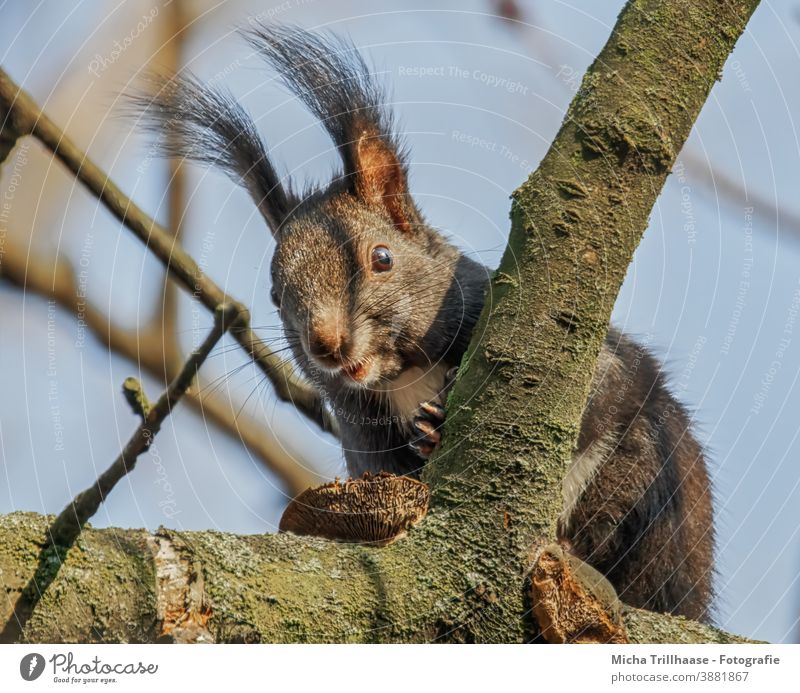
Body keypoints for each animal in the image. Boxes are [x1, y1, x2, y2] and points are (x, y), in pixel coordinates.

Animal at [131, 25, 712, 620]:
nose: (326, 345)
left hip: (645, 486)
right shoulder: (363, 433)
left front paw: (440, 415)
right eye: (275, 294)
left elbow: (592, 393)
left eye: (382, 258)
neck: (405, 372)